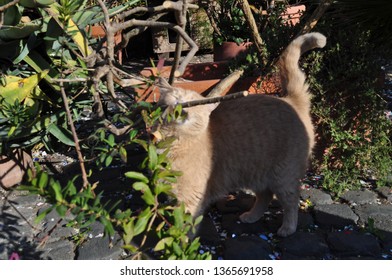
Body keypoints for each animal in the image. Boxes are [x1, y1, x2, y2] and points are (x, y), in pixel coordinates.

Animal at [155, 32, 326, 236]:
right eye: (175, 98)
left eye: (194, 103)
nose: (182, 107)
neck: (175, 143)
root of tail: (290, 100)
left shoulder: (191, 199)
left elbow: (185, 227)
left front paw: (179, 241)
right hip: (256, 173)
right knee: (265, 196)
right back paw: (251, 216)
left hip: (284, 175)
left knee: (291, 201)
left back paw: (287, 228)